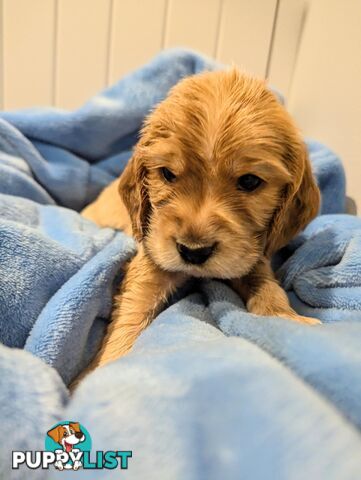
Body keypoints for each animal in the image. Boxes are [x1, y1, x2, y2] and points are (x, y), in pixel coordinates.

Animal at [82, 68, 320, 372]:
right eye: (168, 174)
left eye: (250, 181)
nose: (193, 252)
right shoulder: (152, 253)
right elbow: (132, 310)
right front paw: (104, 367)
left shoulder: (252, 254)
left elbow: (268, 286)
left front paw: (286, 318)